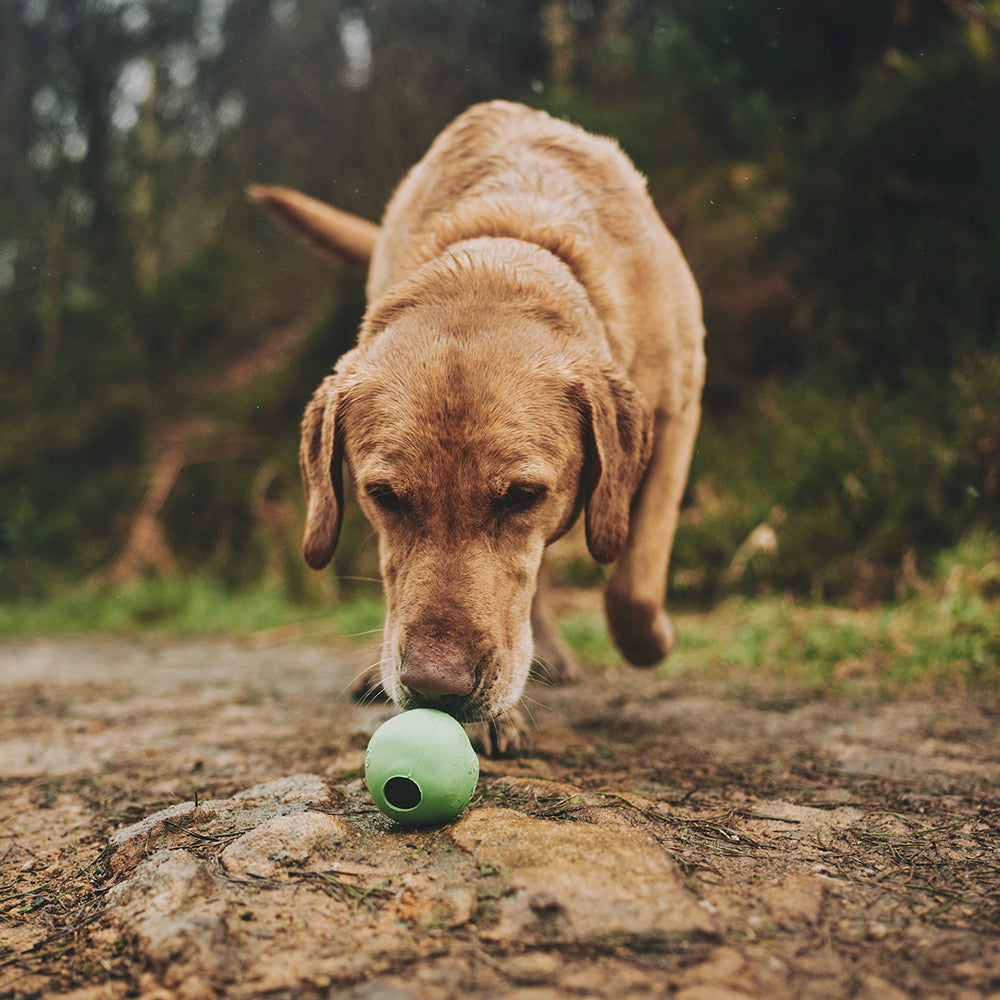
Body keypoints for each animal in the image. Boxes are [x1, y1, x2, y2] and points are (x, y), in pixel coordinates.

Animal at [248, 103, 704, 756]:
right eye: (383, 496)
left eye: (522, 496)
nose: (434, 685)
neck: (506, 237)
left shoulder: (675, 413)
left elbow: (633, 586)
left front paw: (655, 640)